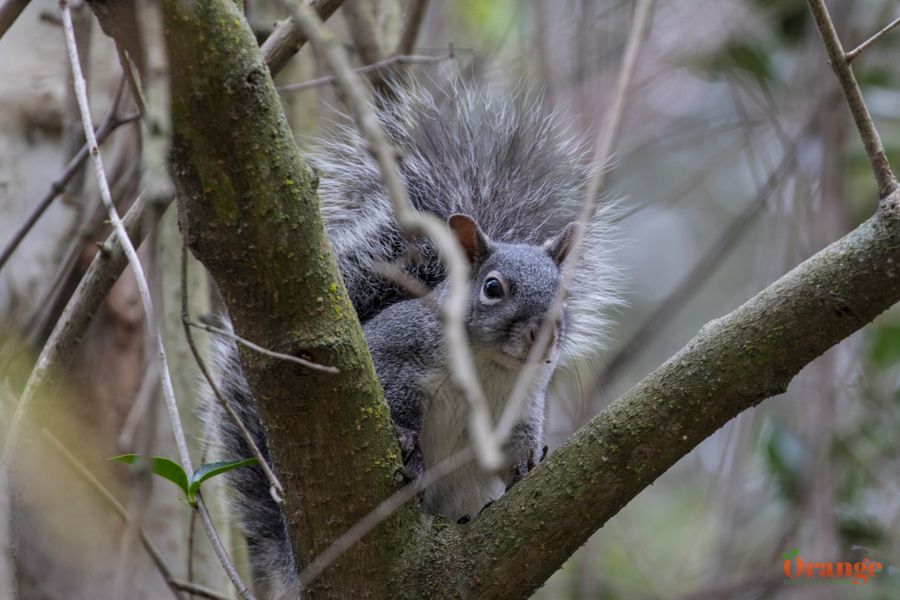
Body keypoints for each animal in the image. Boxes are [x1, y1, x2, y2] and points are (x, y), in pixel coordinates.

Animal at [202, 79, 619, 598]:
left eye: (564, 293)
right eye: (493, 288)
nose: (542, 333)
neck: (489, 368)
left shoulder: (524, 402)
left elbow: (520, 439)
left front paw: (528, 460)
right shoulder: (395, 352)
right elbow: (388, 393)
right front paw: (404, 438)